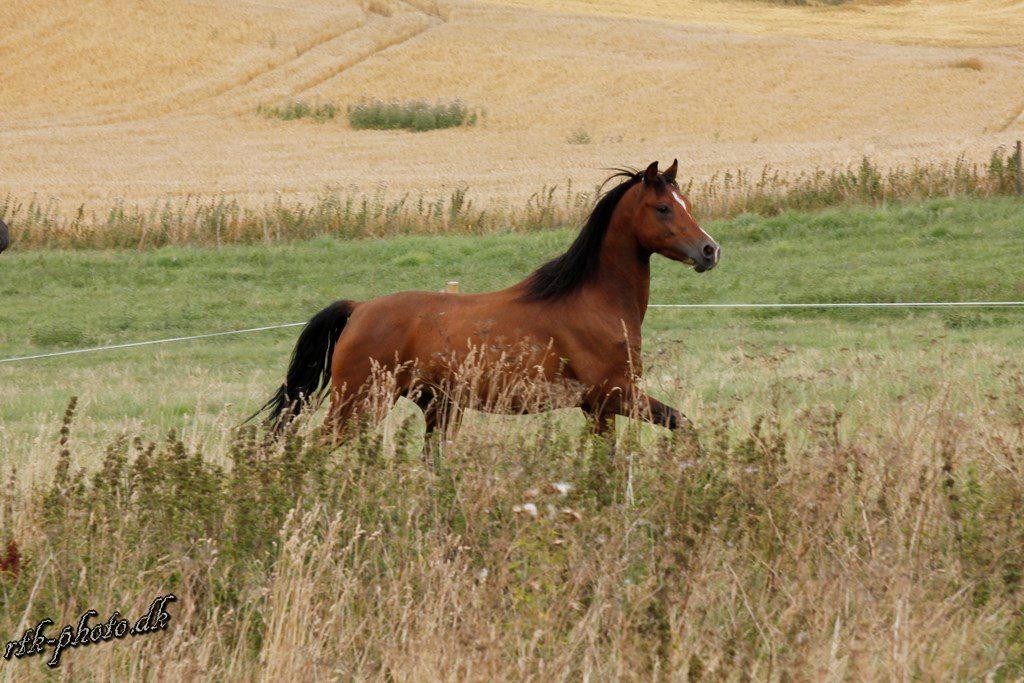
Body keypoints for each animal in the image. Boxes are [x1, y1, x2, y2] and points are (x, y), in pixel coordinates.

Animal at [256, 160, 720, 446]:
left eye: (687, 205)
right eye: (663, 208)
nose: (710, 250)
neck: (593, 303)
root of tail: (360, 309)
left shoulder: (598, 408)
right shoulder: (617, 395)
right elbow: (685, 427)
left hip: (434, 408)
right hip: (359, 404)